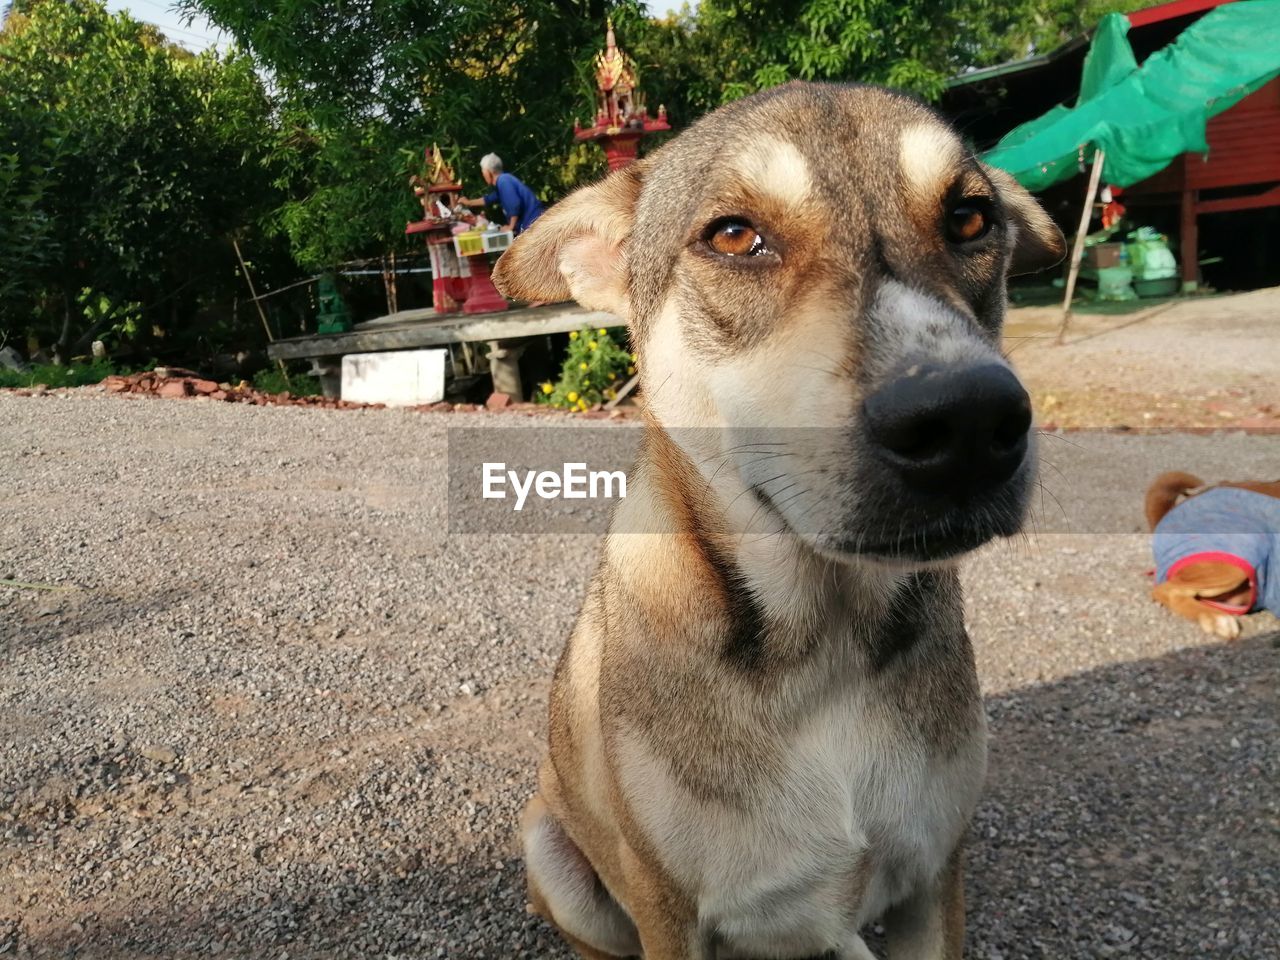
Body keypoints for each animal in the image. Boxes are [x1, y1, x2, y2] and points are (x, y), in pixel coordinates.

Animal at [494, 84, 1064, 960]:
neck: (823, 641)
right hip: (553, 854)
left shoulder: (935, 880)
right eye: (734, 236)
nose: (969, 422)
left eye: (971, 218)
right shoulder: (670, 915)